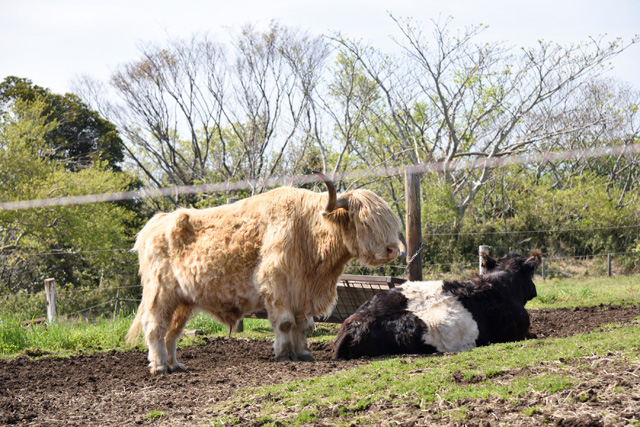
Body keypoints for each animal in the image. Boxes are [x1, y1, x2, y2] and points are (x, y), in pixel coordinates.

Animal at [125, 174, 404, 374]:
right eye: (364, 221)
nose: (392, 249)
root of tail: (156, 223)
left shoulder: (302, 293)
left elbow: (303, 325)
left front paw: (303, 354)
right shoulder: (277, 285)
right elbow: (285, 323)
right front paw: (283, 354)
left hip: (183, 302)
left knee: (172, 332)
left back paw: (175, 365)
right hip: (160, 295)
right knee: (155, 328)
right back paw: (159, 366)